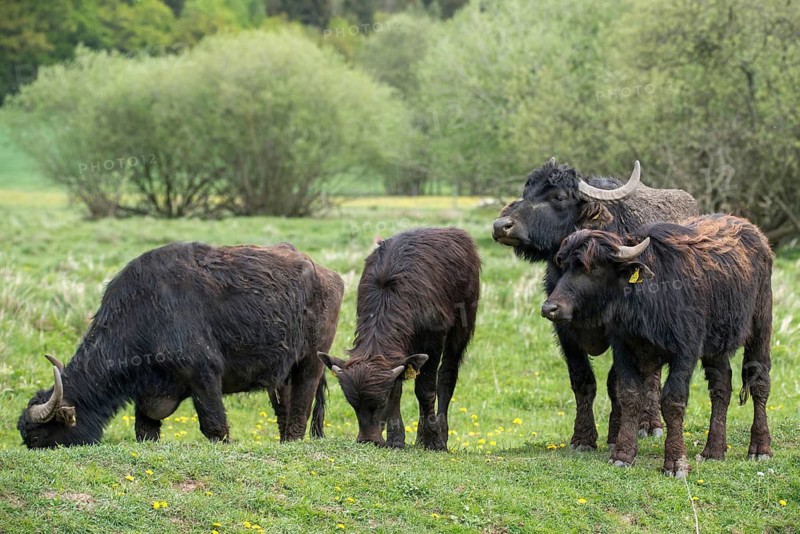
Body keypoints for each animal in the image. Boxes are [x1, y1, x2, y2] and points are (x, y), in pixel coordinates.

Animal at [18, 242, 343, 448]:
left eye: (35, 438)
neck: (145, 313)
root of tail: (328, 275)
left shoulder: (204, 377)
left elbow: (214, 427)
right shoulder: (148, 394)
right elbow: (145, 431)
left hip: (310, 362)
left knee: (300, 410)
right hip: (281, 375)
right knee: (284, 412)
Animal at [319, 228, 480, 450]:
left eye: (380, 402)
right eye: (353, 404)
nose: (368, 440)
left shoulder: (433, 341)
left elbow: (425, 389)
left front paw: (432, 440)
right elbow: (397, 388)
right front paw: (396, 439)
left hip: (461, 328)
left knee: (447, 375)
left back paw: (441, 435)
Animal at [493, 158, 698, 450]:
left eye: (559, 196)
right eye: (526, 191)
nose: (501, 225)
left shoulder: (621, 331)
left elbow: (617, 383)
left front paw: (616, 435)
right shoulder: (563, 328)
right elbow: (582, 380)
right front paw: (582, 438)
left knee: (653, 374)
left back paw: (650, 424)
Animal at [543, 214, 773, 476]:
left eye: (590, 267)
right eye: (564, 266)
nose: (550, 308)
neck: (647, 297)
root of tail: (755, 233)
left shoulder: (686, 352)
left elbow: (672, 400)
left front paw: (675, 462)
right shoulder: (624, 348)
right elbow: (629, 395)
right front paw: (623, 454)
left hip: (761, 325)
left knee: (759, 380)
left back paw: (760, 448)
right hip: (715, 346)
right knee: (721, 386)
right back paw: (713, 451)